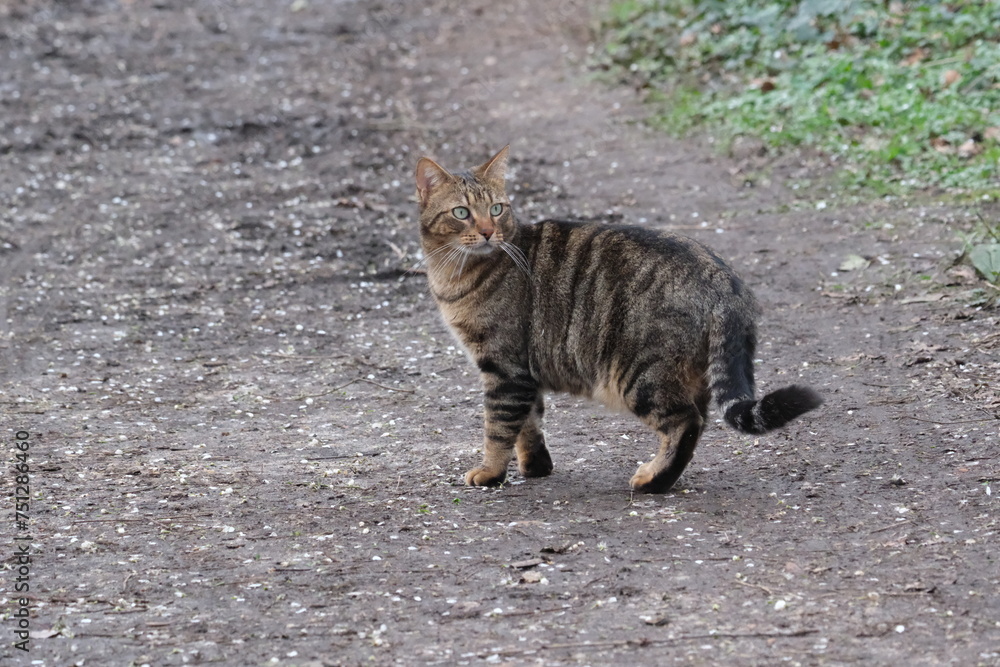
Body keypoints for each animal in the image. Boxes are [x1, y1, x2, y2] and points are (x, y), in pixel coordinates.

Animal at [414, 146, 820, 494]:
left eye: (497, 209)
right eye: (462, 213)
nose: (487, 232)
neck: (452, 274)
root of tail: (725, 279)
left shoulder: (505, 367)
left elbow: (498, 428)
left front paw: (490, 472)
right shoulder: (523, 372)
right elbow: (530, 422)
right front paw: (535, 466)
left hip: (638, 375)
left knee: (686, 423)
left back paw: (653, 480)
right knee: (698, 421)